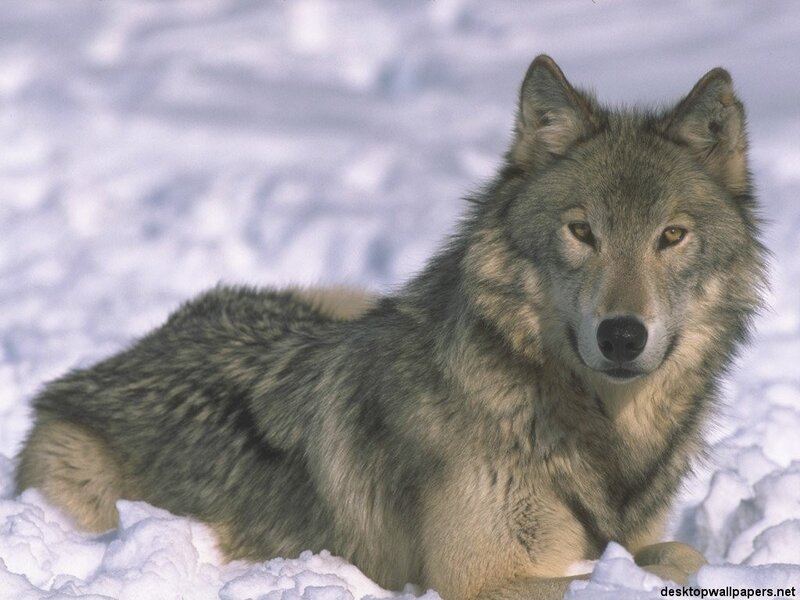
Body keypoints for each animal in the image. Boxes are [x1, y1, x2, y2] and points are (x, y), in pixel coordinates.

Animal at [16, 56, 766, 600]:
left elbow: (672, 549)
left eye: (671, 236)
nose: (621, 336)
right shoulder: (482, 580)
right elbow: (667, 563)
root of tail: (108, 364)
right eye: (582, 232)